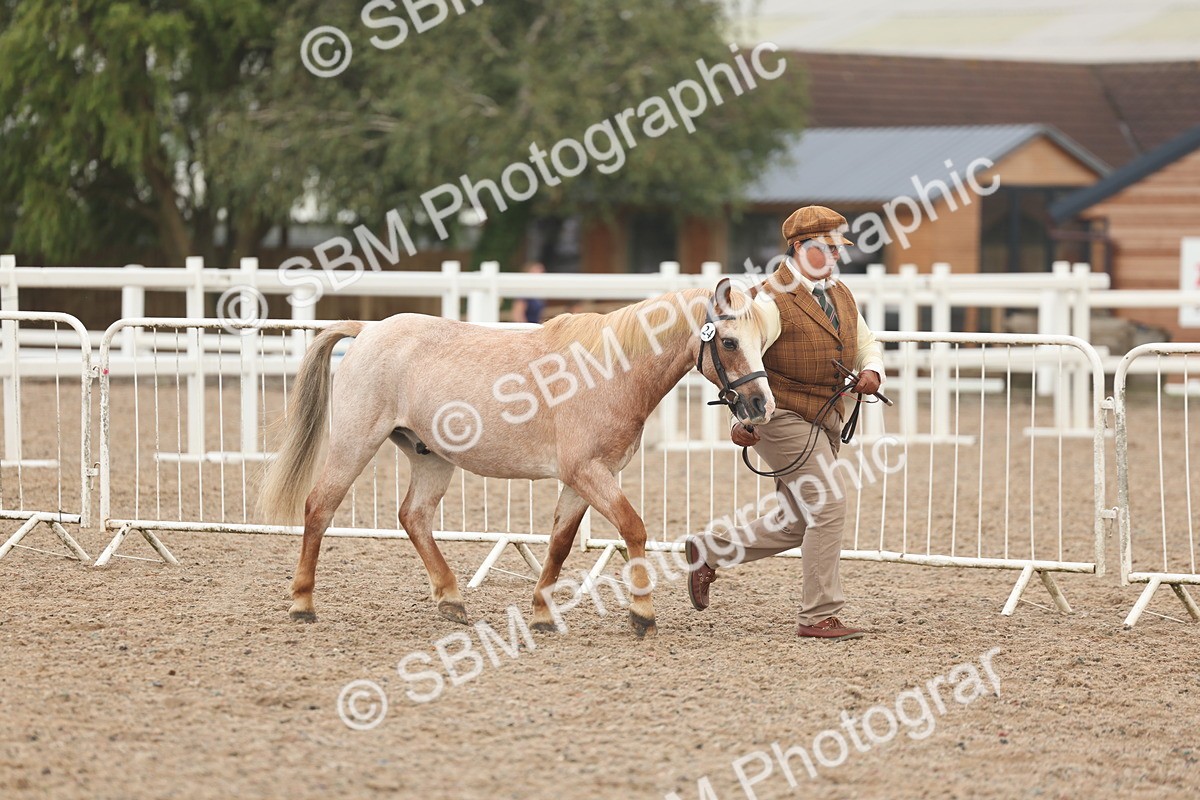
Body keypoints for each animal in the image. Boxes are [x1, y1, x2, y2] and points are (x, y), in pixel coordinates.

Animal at [259, 277, 775, 637]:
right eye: (728, 341)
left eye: (764, 342)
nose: (760, 406)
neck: (608, 371)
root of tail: (368, 331)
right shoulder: (589, 473)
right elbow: (633, 528)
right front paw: (642, 614)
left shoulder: (584, 480)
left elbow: (560, 545)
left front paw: (542, 615)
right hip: (354, 444)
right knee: (319, 508)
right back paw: (302, 604)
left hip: (431, 457)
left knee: (414, 517)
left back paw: (451, 600)